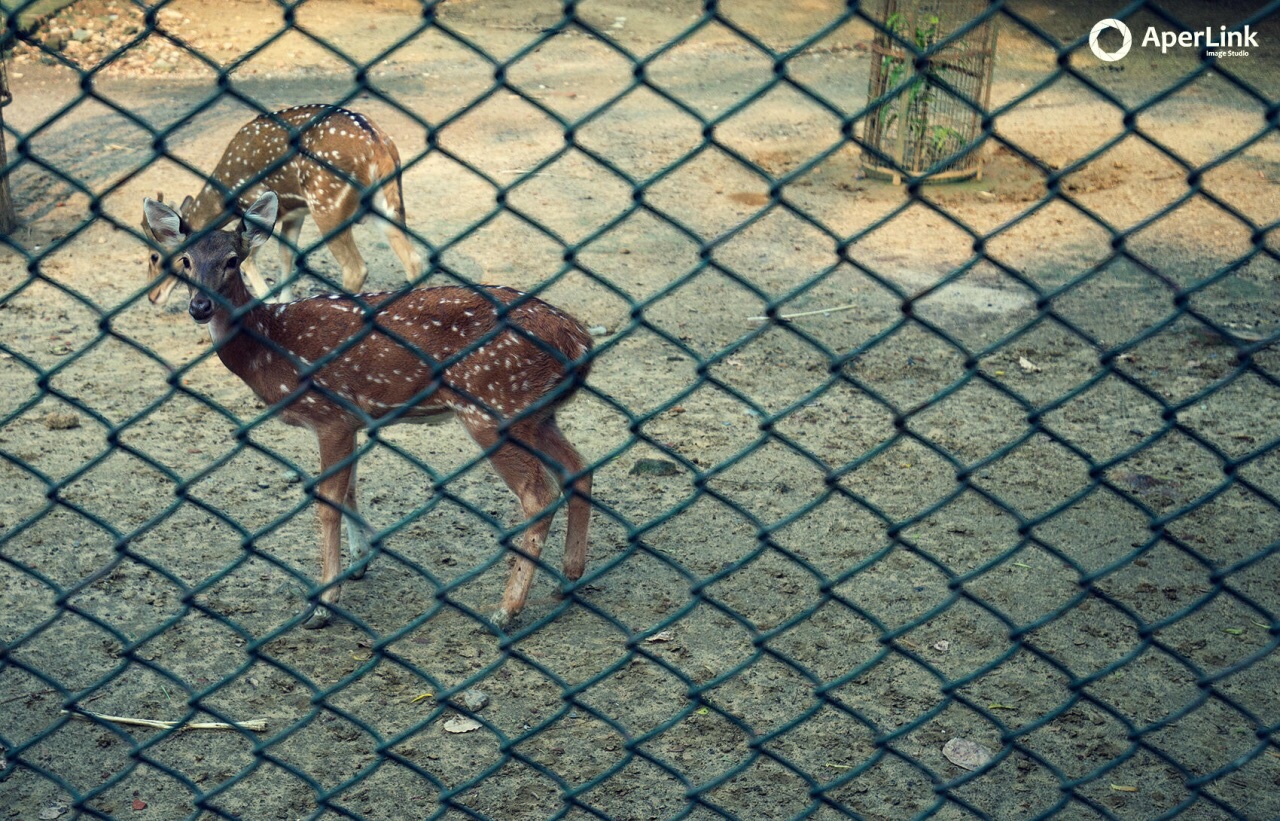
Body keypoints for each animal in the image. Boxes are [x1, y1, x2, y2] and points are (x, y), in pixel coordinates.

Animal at [144, 103, 424, 306]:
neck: (225, 196)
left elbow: (249, 258)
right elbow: (286, 254)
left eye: (155, 256)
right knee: (414, 260)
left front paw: (269, 301)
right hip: (387, 203)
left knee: (356, 269)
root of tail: (378, 145)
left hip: (327, 203)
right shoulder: (294, 213)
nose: (152, 297)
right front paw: (286, 301)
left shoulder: (259, 209)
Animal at [144, 190, 593, 627]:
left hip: (494, 404)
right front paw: (359, 562)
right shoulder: (353, 422)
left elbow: (327, 498)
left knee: (538, 494)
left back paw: (507, 608)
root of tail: (579, 340)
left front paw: (324, 603)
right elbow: (351, 489)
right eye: (185, 260)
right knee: (578, 467)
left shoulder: (330, 413)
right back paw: (568, 578)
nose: (200, 306)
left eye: (232, 260)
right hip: (536, 413)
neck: (269, 345)